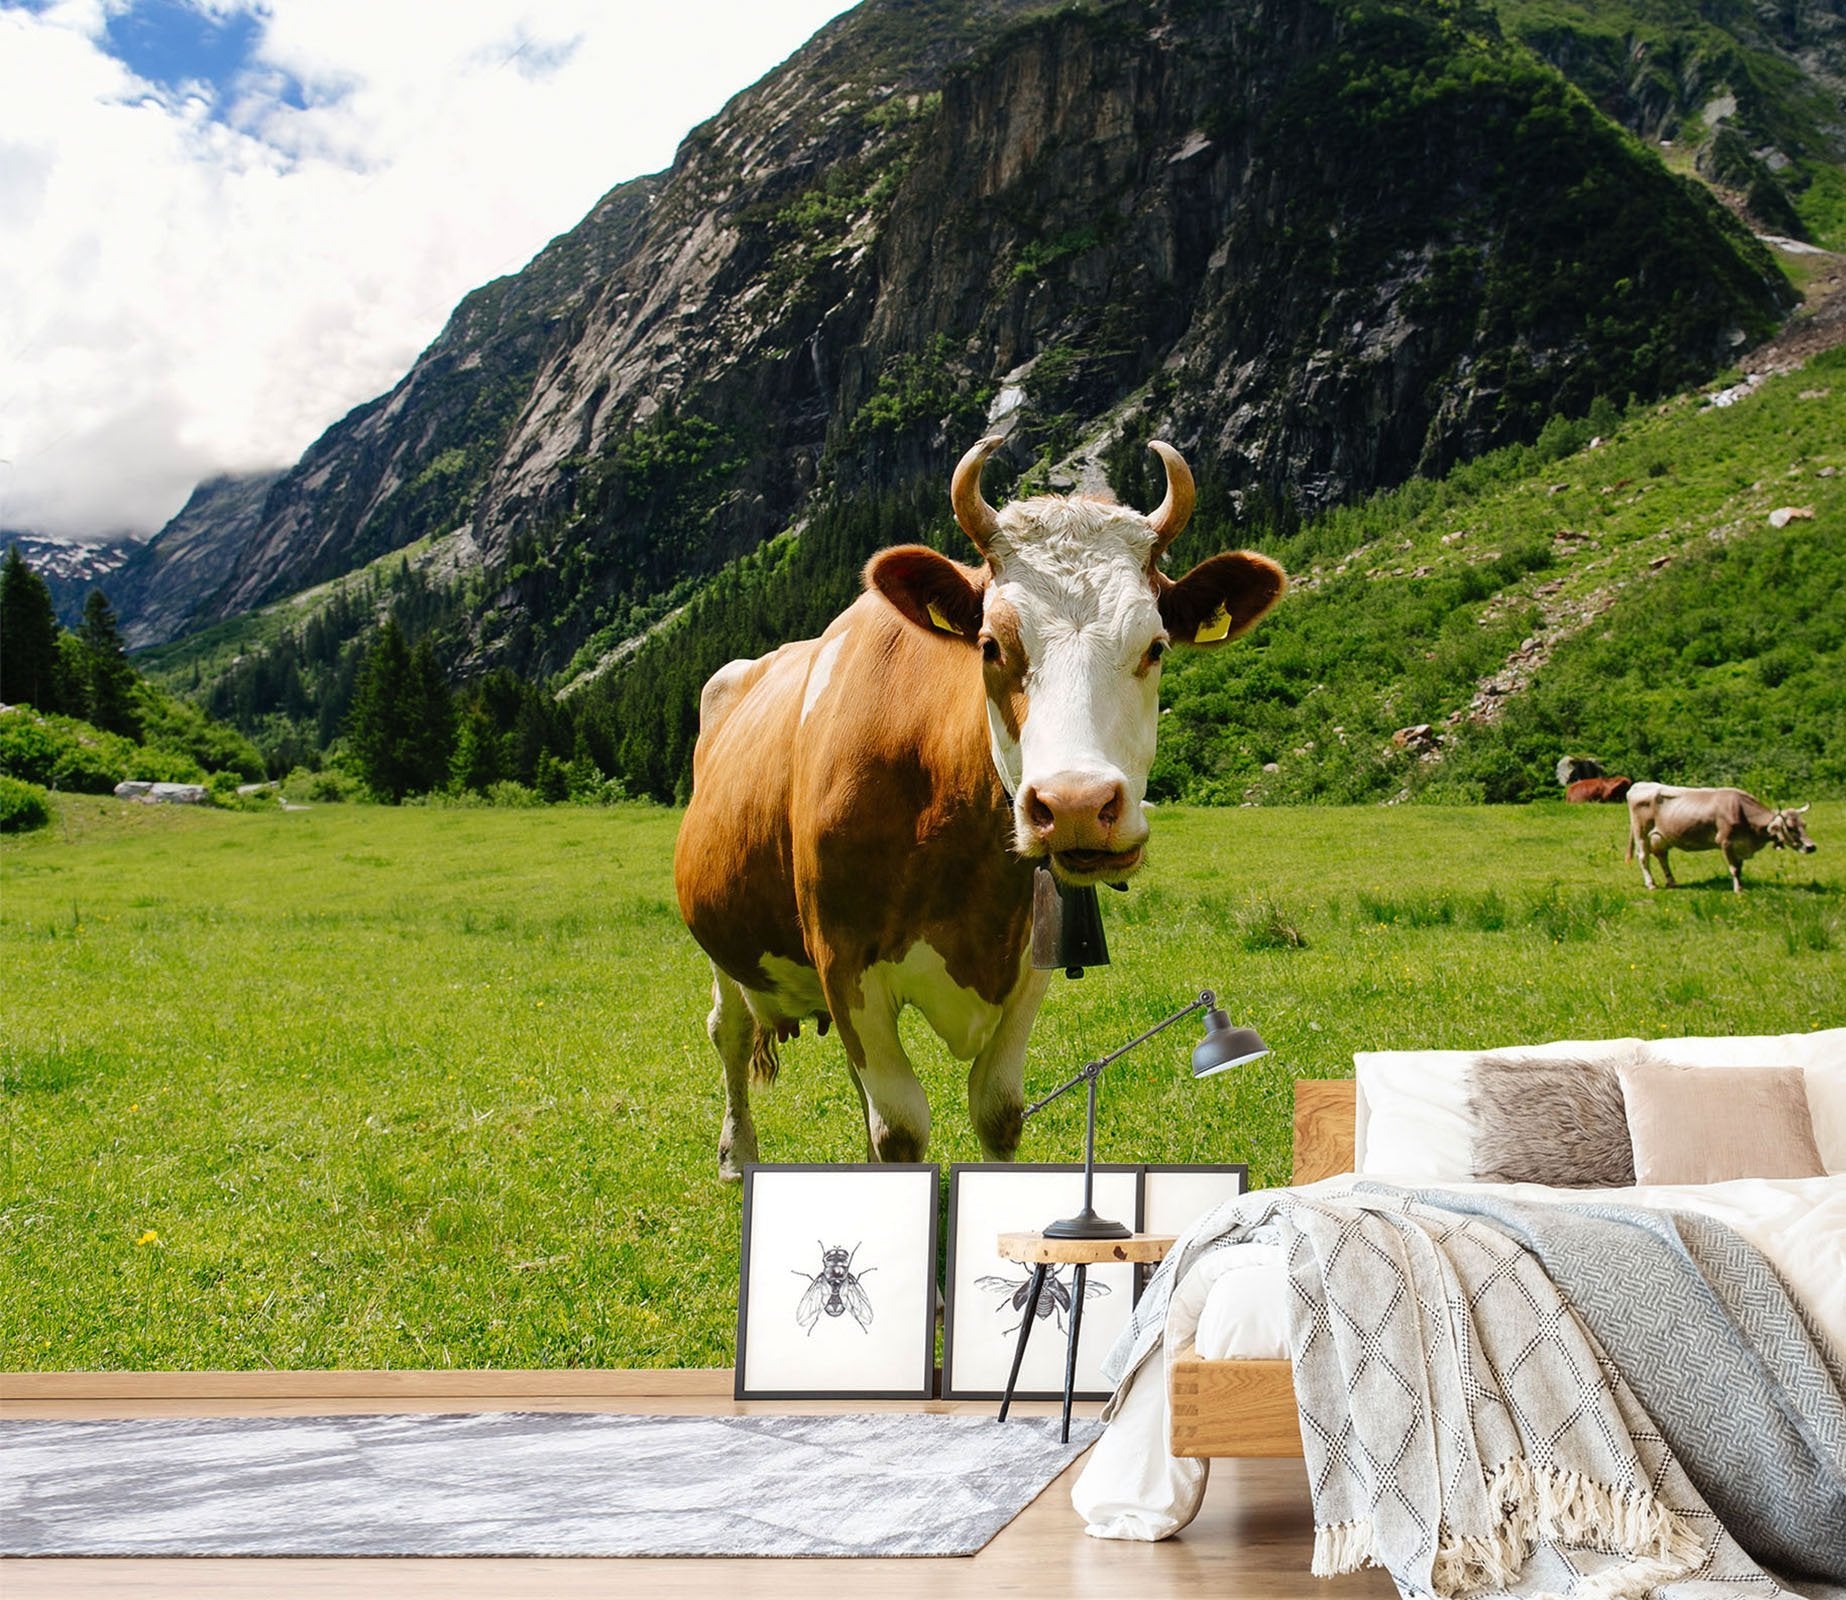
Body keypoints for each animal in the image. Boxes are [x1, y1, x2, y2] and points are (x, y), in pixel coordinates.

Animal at [674, 437, 1286, 1177]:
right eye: (992, 645)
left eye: (1157, 646)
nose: (1076, 805)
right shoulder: (843, 963)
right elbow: (900, 1129)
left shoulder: (1027, 965)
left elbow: (996, 1111)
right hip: (722, 944)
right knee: (728, 1032)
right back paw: (738, 1157)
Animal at [1625, 782, 1817, 893]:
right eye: (1790, 828)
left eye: (1804, 825)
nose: (1811, 847)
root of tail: (1637, 785)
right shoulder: (1725, 842)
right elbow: (1733, 869)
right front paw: (1738, 890)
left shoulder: (1740, 845)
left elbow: (1739, 868)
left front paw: (1741, 885)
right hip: (1641, 832)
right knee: (1643, 857)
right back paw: (1651, 884)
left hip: (1661, 836)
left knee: (1662, 856)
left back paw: (1672, 882)